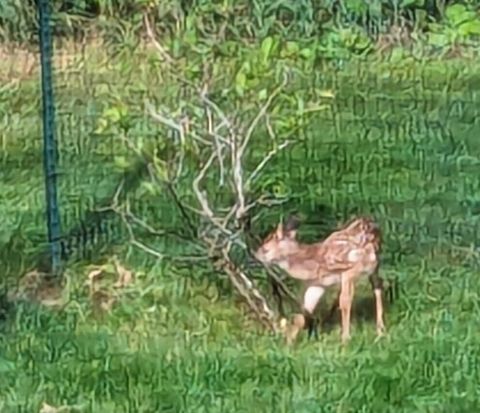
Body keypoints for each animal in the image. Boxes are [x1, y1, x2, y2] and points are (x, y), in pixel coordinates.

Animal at [255, 214, 386, 342]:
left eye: (265, 249)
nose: (255, 255)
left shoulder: (350, 270)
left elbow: (345, 302)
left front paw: (345, 339)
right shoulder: (318, 284)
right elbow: (303, 311)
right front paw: (289, 340)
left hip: (371, 264)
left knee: (375, 288)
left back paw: (379, 331)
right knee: (378, 286)